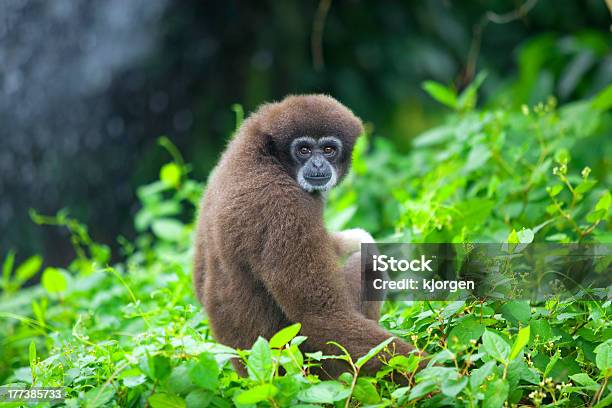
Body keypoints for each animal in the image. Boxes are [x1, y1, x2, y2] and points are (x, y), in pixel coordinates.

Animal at [194, 94, 424, 378]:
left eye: (328, 150)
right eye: (303, 150)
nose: (317, 164)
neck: (264, 155)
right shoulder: (281, 206)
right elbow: (323, 318)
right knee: (367, 265)